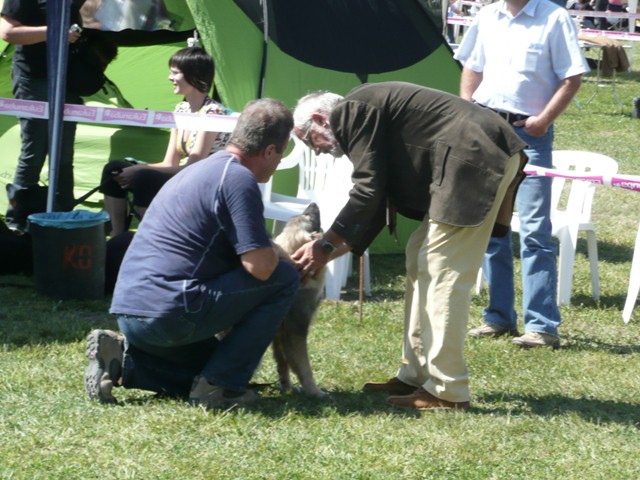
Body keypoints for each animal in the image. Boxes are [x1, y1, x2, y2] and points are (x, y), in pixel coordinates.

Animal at [272, 202, 328, 398]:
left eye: (304, 215)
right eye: (309, 218)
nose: (313, 203)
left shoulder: (278, 335)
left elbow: (284, 364)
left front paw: (287, 386)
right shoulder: (295, 330)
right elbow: (304, 366)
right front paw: (315, 391)